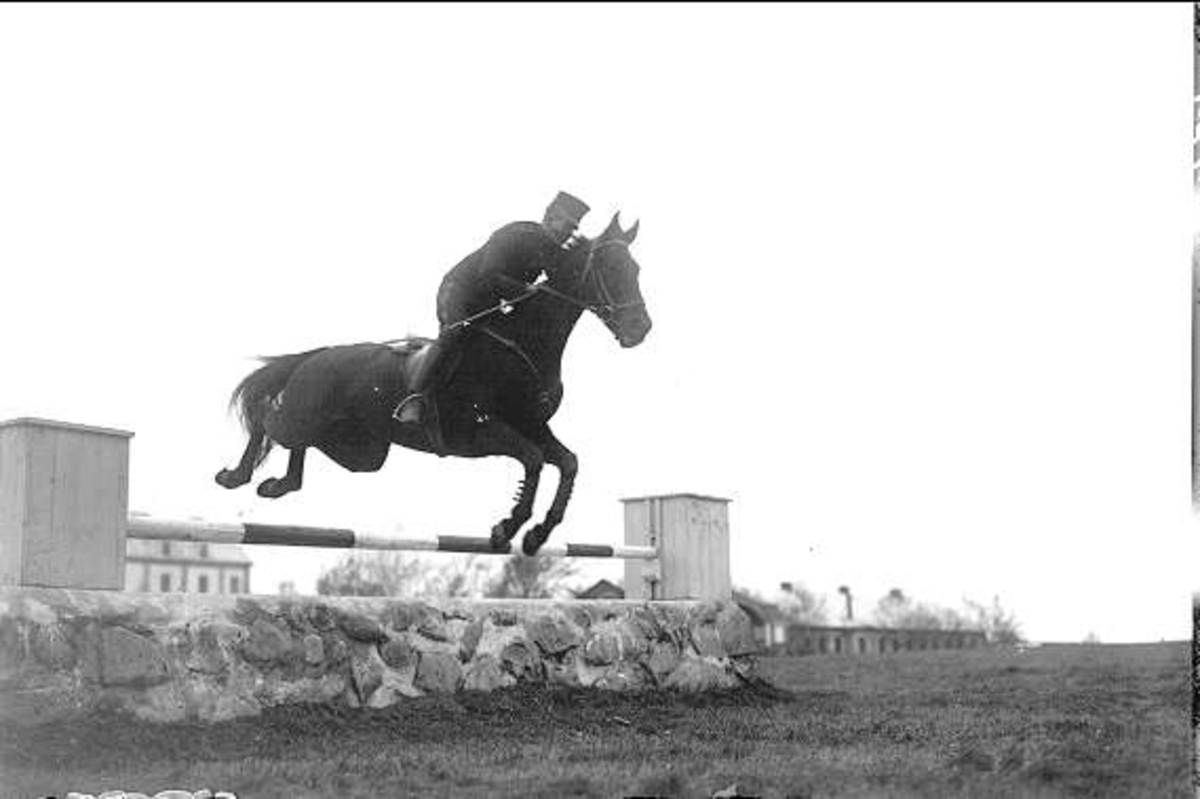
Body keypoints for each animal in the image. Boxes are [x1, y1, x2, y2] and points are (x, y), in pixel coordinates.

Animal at [214, 212, 651, 555]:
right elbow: (533, 460)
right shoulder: (479, 432)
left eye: (636, 269)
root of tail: (318, 355)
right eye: (611, 268)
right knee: (267, 421)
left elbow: (567, 463)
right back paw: (236, 476)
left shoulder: (532, 424)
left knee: (301, 448)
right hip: (306, 416)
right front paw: (507, 528)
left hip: (361, 451)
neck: (524, 345)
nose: (640, 329)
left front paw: (537, 535)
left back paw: (279, 484)